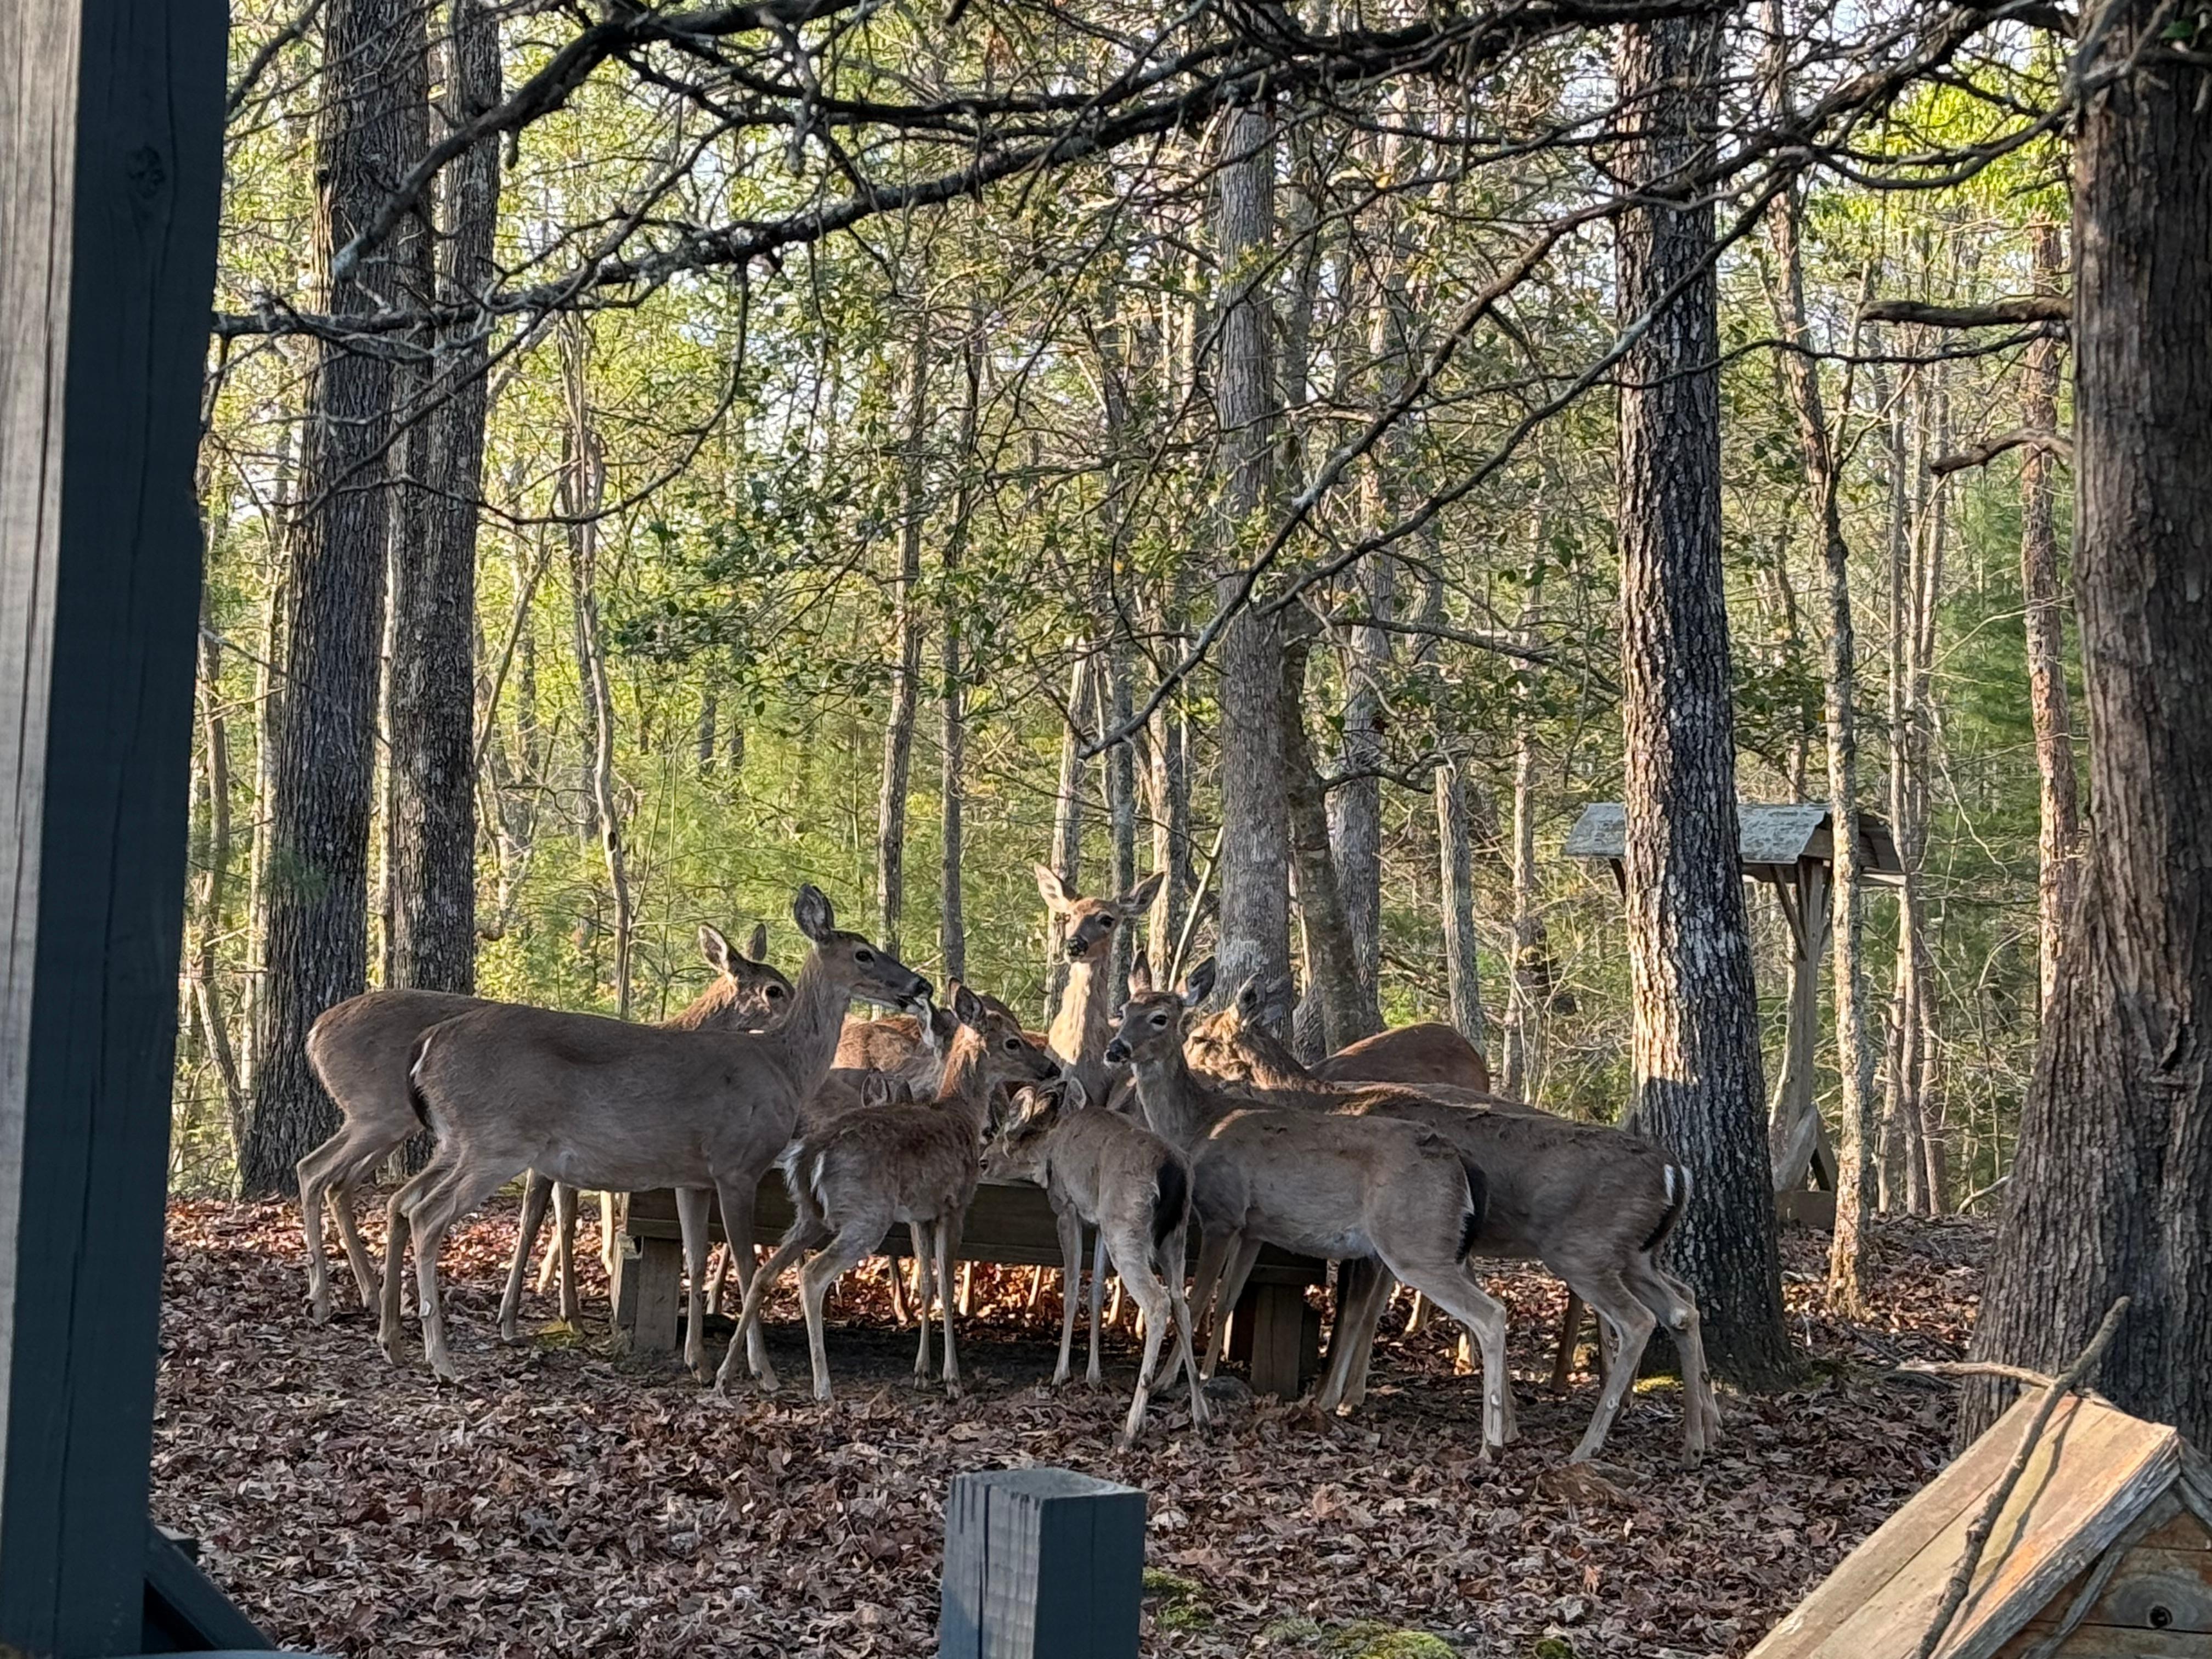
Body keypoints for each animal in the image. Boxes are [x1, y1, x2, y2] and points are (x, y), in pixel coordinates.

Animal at [296, 921, 790, 1324]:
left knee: (341, 1183)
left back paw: (371, 1297)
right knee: (315, 1170)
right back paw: (324, 1299)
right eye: (774, 989)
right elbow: (549, 1219)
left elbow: (554, 1217)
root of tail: (315, 1032)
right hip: (378, 1112)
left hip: (389, 1123)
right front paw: (547, 1311)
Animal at [385, 886, 930, 1384]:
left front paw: (699, 1362)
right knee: (428, 1216)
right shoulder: (737, 1165)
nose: (920, 984)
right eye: (864, 953)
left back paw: (398, 1345)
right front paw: (760, 1371)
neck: (784, 1067)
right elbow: (748, 1267)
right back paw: (441, 1361)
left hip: (457, 1142)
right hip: (494, 1141)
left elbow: (695, 1256)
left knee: (405, 1203)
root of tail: (427, 1044)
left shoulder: (692, 1177)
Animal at [724, 983, 1063, 1400]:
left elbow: (928, 1283)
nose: (1051, 1069)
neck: (960, 1117)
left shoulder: (921, 1213)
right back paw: (822, 1386)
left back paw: (729, 1373)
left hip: (809, 1215)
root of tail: (808, 1158)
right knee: (812, 1275)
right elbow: (946, 1285)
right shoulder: (955, 1203)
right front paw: (952, 1380)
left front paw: (922, 1372)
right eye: (1013, 1042)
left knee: (763, 1273)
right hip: (866, 1215)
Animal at [981, 1077, 1210, 1445]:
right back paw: (1201, 1417)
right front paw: (1093, 1375)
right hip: (1174, 1237)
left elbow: (1073, 1288)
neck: (1049, 1150)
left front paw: (1061, 1374)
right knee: (1180, 1302)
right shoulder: (1101, 1221)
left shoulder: (1067, 1207)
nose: (982, 1162)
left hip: (1127, 1229)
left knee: (1158, 1302)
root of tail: (1173, 1173)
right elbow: (1097, 1290)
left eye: (988, 1159)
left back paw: (1132, 1428)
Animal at [1102, 957, 1517, 1456]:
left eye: (1162, 1018)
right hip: (1432, 1244)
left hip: (1414, 1242)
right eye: (1124, 1010)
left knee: (1491, 1314)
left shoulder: (1223, 1212)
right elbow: (1228, 1299)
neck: (1202, 1125)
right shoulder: (1255, 1228)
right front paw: (1207, 1372)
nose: (1116, 1049)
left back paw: (1491, 1442)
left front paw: (1170, 1381)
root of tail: (1461, 1165)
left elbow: (1196, 1299)